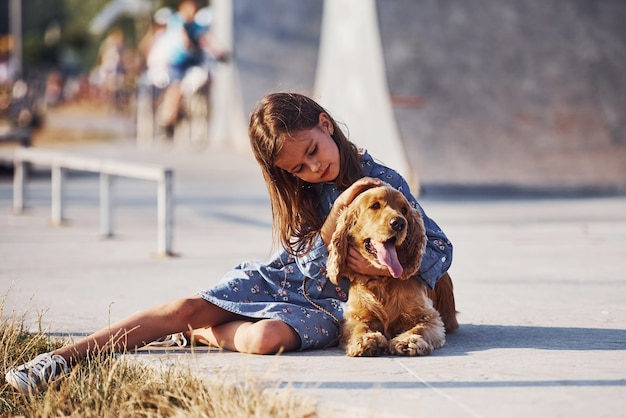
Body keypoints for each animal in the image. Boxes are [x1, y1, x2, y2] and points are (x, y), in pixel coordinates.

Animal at [324, 185, 456, 358]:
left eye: (404, 210)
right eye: (375, 206)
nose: (399, 223)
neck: (381, 280)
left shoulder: (429, 316)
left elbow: (419, 328)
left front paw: (407, 341)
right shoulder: (356, 315)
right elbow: (359, 327)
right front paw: (366, 340)